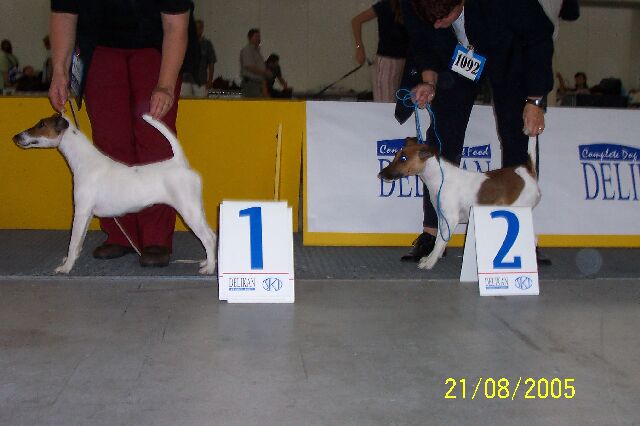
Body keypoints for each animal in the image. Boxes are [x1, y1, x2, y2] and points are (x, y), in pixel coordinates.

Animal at [12, 114, 217, 275]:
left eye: (41, 124)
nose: (16, 136)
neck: (84, 161)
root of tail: (179, 163)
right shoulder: (86, 215)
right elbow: (79, 242)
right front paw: (71, 260)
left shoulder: (80, 212)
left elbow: (73, 242)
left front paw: (66, 267)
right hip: (195, 209)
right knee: (212, 236)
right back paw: (206, 262)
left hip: (188, 211)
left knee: (207, 237)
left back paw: (210, 268)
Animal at [378, 137, 541, 270]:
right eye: (396, 156)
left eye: (403, 158)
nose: (380, 175)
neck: (440, 179)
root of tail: (528, 171)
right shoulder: (442, 218)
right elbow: (438, 240)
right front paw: (430, 257)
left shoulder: (451, 219)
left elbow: (440, 242)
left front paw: (430, 263)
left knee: (533, 239)